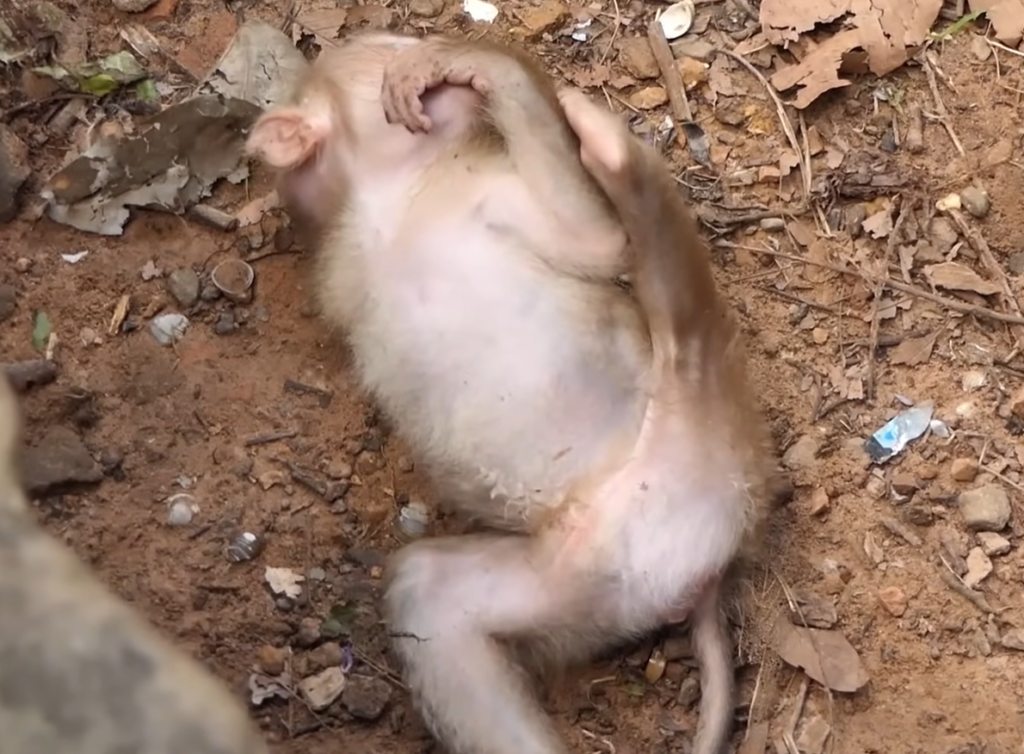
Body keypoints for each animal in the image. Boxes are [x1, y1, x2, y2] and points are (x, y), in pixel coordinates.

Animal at [245, 32, 775, 754]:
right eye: (383, 46)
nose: (414, 46)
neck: (386, 200)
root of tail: (696, 572)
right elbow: (600, 245)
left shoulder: (487, 194)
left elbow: (601, 245)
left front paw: (476, 64)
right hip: (582, 578)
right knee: (428, 596)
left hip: (709, 433)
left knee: (683, 331)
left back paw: (610, 149)